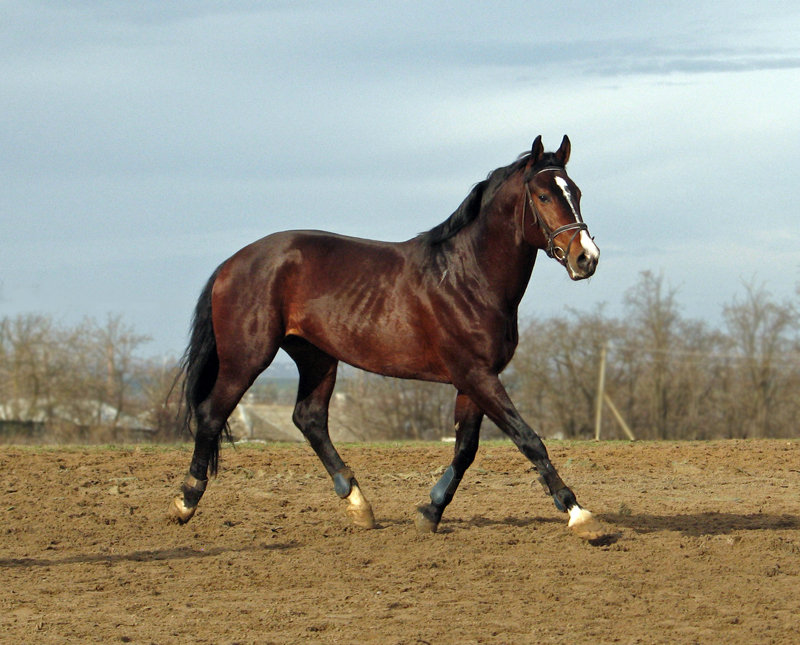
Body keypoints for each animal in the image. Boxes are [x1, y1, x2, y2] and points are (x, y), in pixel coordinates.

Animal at [169, 137, 608, 544]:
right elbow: (528, 439)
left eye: (576, 192)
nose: (587, 258)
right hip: (247, 357)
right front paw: (577, 512)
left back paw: (358, 504)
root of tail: (232, 263)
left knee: (309, 419)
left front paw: (430, 511)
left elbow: (465, 449)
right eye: (544, 195)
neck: (467, 277)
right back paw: (186, 501)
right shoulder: (477, 375)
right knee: (211, 414)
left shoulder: (473, 380)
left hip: (317, 357)